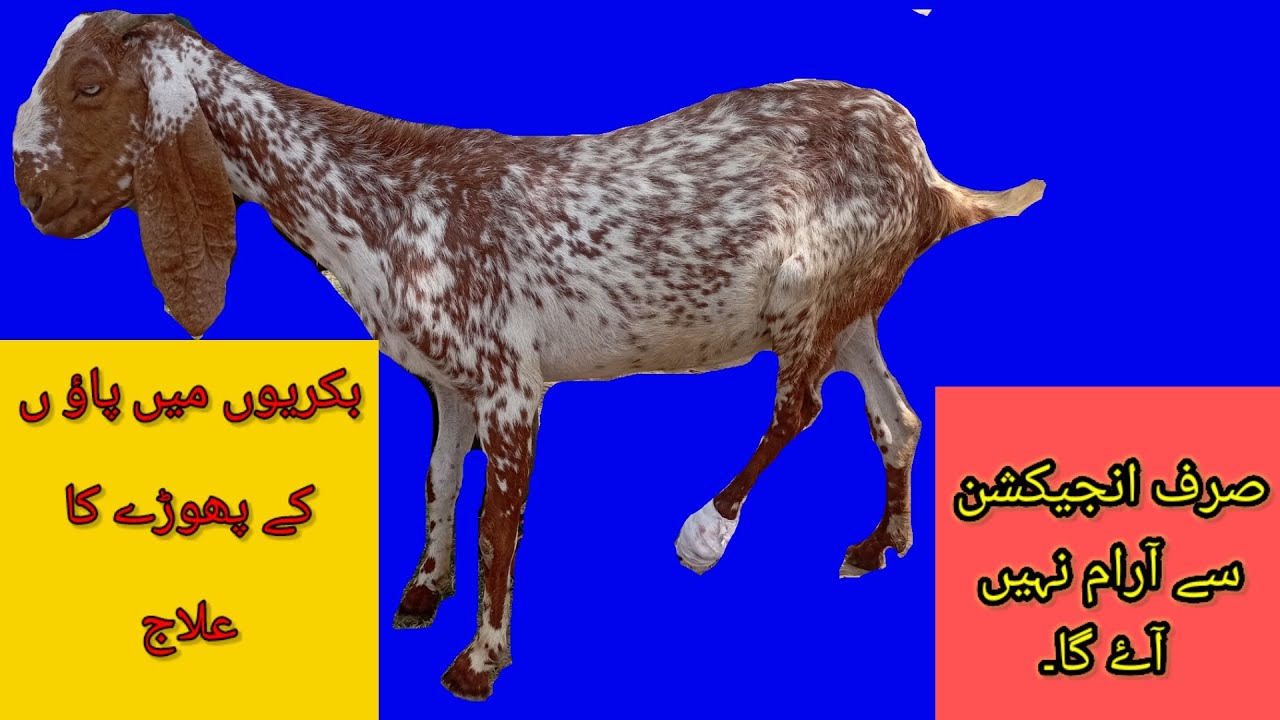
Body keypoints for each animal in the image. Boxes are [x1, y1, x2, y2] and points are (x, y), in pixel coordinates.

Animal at [13, 11, 1044, 700]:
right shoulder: (446, 380)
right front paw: (421, 590)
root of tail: (926, 171)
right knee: (894, 416)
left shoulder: (512, 383)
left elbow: (497, 523)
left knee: (804, 406)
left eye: (92, 84)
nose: (34, 194)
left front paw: (478, 659)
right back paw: (882, 542)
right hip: (855, 310)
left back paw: (706, 532)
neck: (381, 199)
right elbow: (437, 478)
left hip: (811, 297)